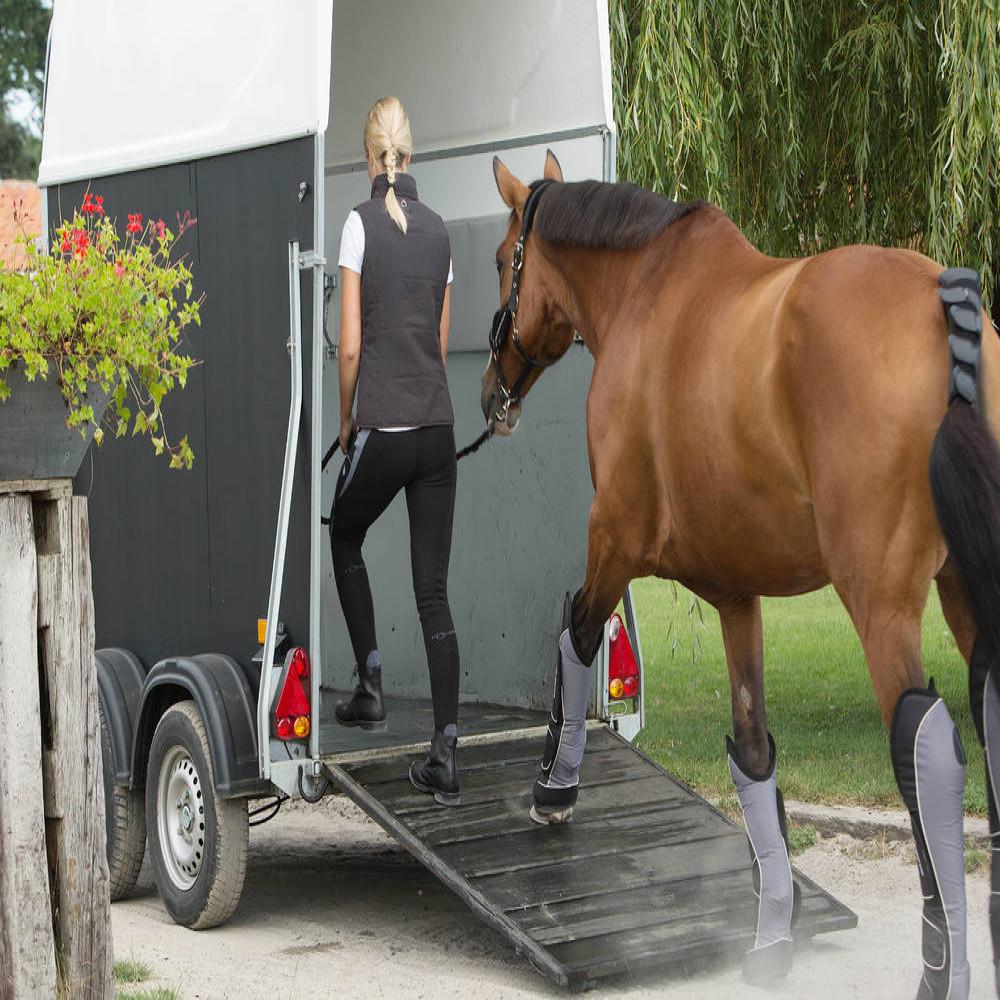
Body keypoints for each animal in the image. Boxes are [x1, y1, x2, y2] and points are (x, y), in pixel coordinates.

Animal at [481, 150, 1000, 997]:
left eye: (501, 261)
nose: (493, 392)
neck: (644, 291)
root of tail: (941, 304)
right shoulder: (736, 595)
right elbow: (752, 749)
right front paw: (773, 930)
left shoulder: (614, 537)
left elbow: (578, 632)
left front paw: (554, 785)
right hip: (963, 590)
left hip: (882, 601)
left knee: (924, 740)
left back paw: (942, 969)